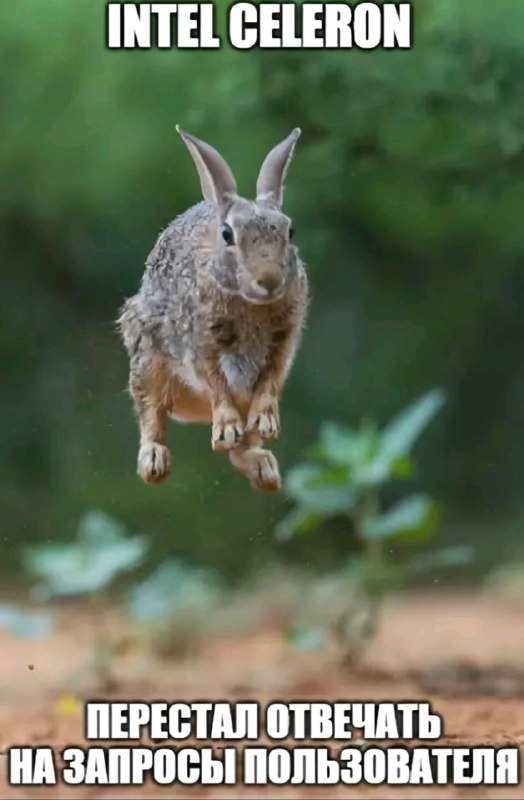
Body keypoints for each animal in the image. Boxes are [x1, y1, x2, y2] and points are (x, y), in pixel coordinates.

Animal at [116, 127, 310, 490]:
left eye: (290, 231)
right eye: (227, 233)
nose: (270, 280)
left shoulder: (283, 341)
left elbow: (269, 381)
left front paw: (266, 421)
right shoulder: (201, 342)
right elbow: (216, 382)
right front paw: (227, 426)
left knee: (239, 451)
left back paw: (265, 471)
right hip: (146, 355)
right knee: (151, 411)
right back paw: (155, 462)